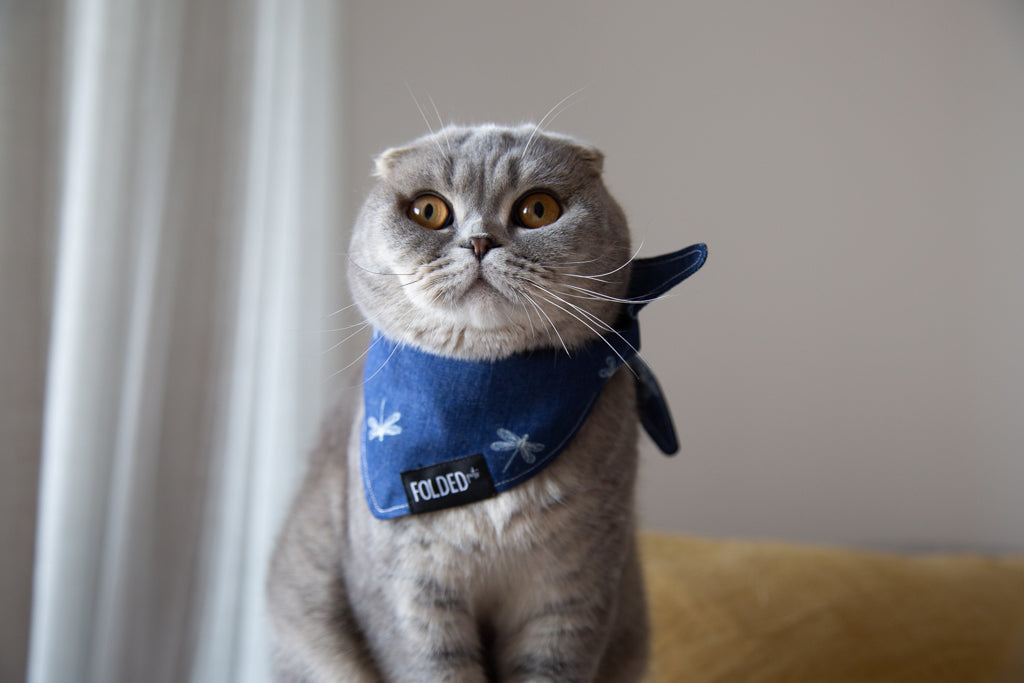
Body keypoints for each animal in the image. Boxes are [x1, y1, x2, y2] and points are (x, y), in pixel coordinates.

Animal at [268, 124, 696, 683]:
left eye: (538, 209)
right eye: (429, 210)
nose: (479, 241)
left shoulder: (572, 593)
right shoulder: (408, 598)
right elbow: (434, 668)